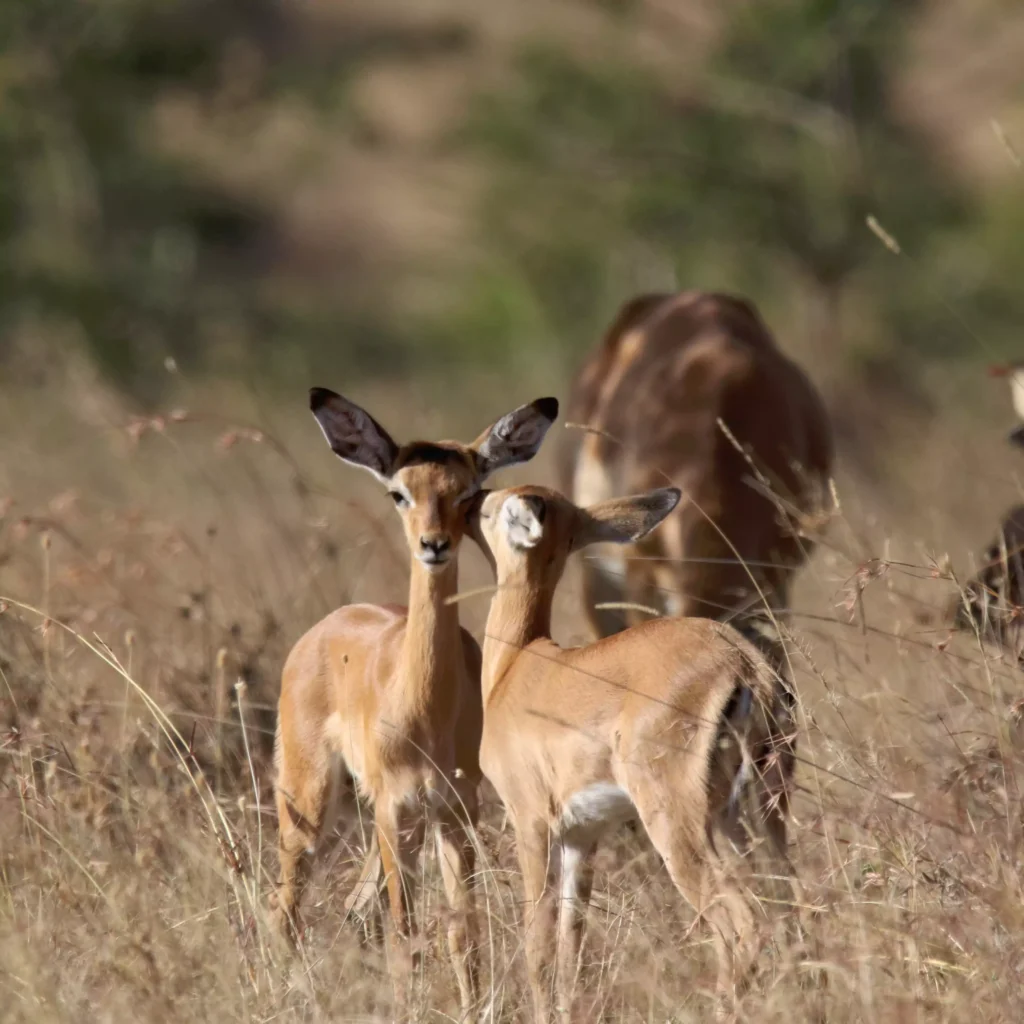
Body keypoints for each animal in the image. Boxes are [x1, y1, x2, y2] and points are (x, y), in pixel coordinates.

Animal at [272, 387, 557, 1019]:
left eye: (469, 492)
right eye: (398, 492)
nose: (434, 545)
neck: (426, 710)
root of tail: (322, 629)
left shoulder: (455, 811)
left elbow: (462, 935)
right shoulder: (396, 809)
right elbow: (406, 937)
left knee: (354, 909)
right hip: (311, 804)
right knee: (286, 912)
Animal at [468, 483, 794, 1019]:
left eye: (490, 509)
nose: (470, 497)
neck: (517, 665)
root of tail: (744, 664)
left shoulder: (531, 822)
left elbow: (538, 943)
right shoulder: (582, 835)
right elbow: (571, 946)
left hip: (678, 826)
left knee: (744, 921)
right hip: (756, 816)